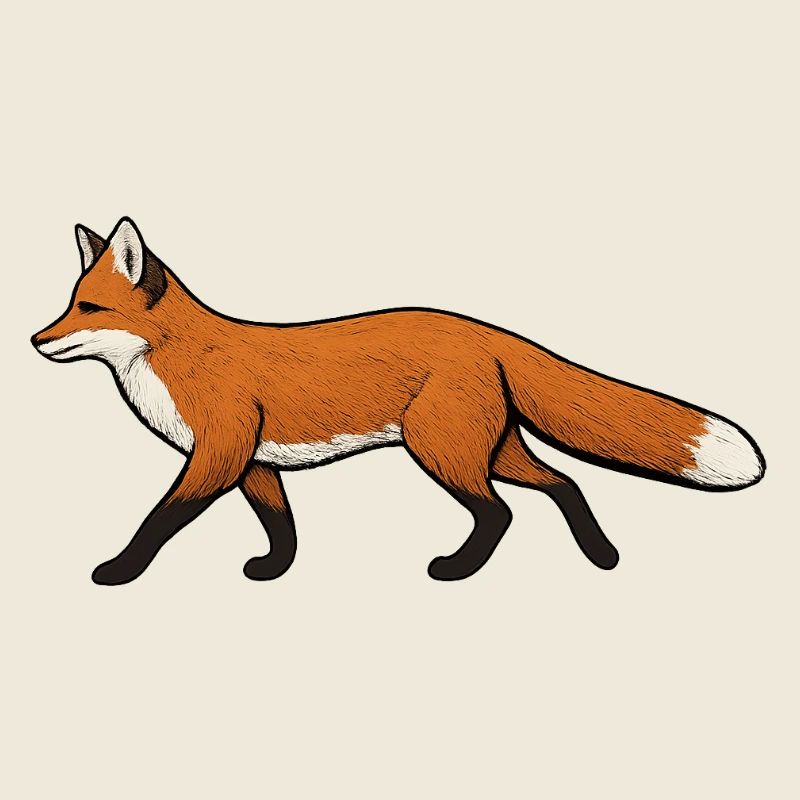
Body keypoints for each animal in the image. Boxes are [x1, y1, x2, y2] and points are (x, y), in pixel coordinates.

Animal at [32, 217, 765, 585]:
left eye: (88, 309)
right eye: (68, 305)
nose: (36, 339)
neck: (181, 359)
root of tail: (485, 329)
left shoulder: (218, 453)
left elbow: (158, 520)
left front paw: (118, 571)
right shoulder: (255, 462)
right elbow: (281, 524)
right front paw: (273, 571)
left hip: (440, 449)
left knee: (499, 513)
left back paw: (458, 570)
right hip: (488, 448)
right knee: (565, 484)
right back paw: (602, 557)